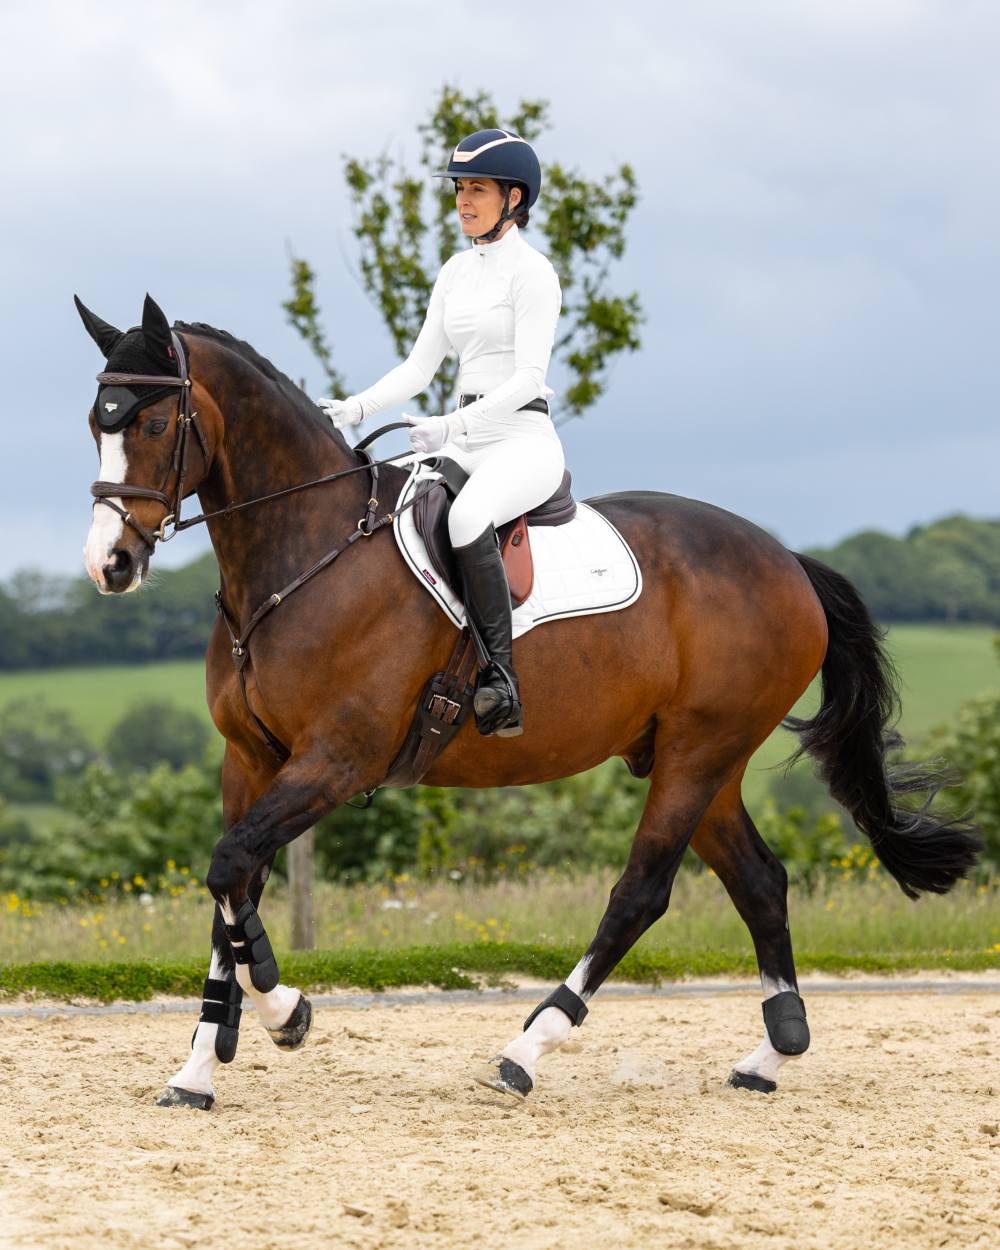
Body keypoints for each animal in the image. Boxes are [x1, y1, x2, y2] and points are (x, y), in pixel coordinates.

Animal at [76, 297, 975, 1110]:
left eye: (155, 425)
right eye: (97, 424)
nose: (110, 563)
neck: (305, 553)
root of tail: (788, 562)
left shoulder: (337, 759)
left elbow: (232, 869)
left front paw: (285, 1011)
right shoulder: (252, 760)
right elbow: (230, 887)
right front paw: (201, 1064)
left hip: (698, 753)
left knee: (641, 893)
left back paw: (526, 1051)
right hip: (704, 760)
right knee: (759, 881)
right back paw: (771, 1053)